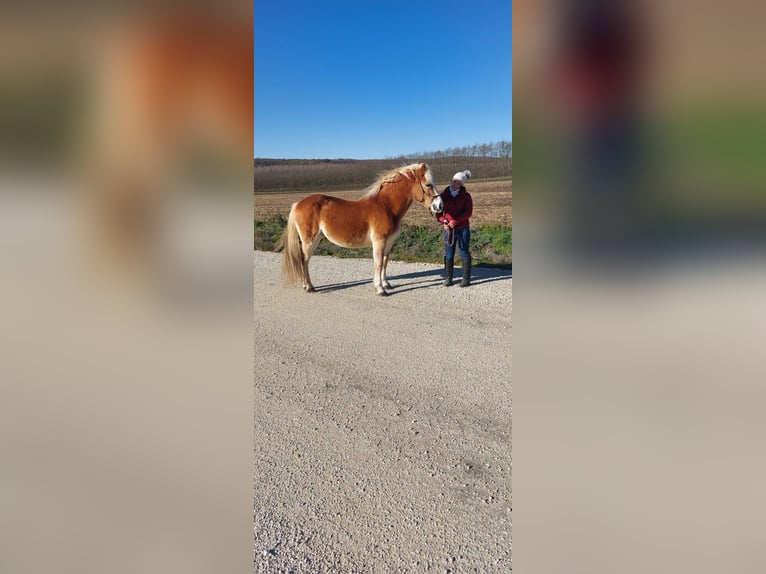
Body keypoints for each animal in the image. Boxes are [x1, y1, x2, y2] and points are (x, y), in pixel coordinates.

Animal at [280, 162, 444, 296]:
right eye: (428, 185)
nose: (439, 206)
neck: (386, 206)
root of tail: (298, 204)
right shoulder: (379, 241)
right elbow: (378, 263)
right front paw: (380, 289)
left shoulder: (389, 243)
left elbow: (385, 262)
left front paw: (386, 284)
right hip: (309, 240)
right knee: (304, 260)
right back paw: (309, 287)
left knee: (305, 260)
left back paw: (306, 285)